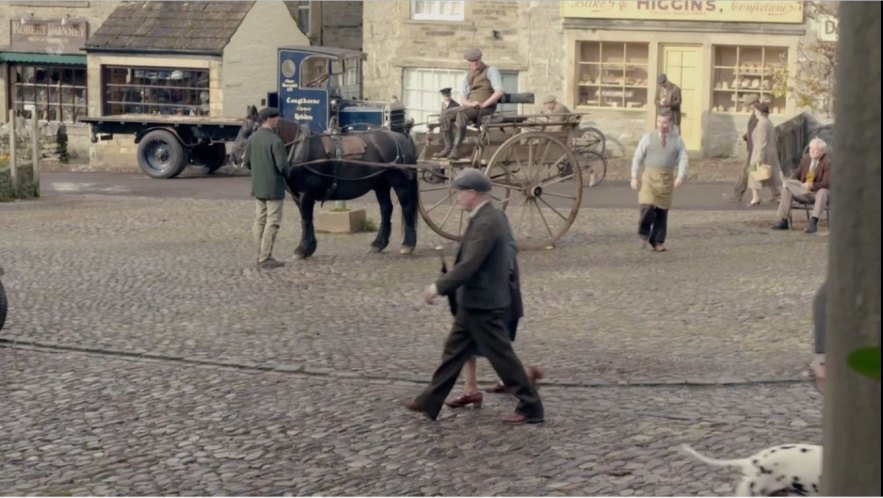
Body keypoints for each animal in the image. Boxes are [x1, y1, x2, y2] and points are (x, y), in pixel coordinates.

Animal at [231, 106, 418, 258]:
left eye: (250, 129)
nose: (233, 157)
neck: (300, 150)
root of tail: (401, 138)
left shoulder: (306, 194)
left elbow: (306, 219)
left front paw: (302, 249)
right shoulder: (297, 195)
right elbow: (306, 219)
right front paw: (309, 247)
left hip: (400, 183)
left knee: (407, 208)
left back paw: (408, 244)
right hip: (380, 185)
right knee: (386, 209)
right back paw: (378, 244)